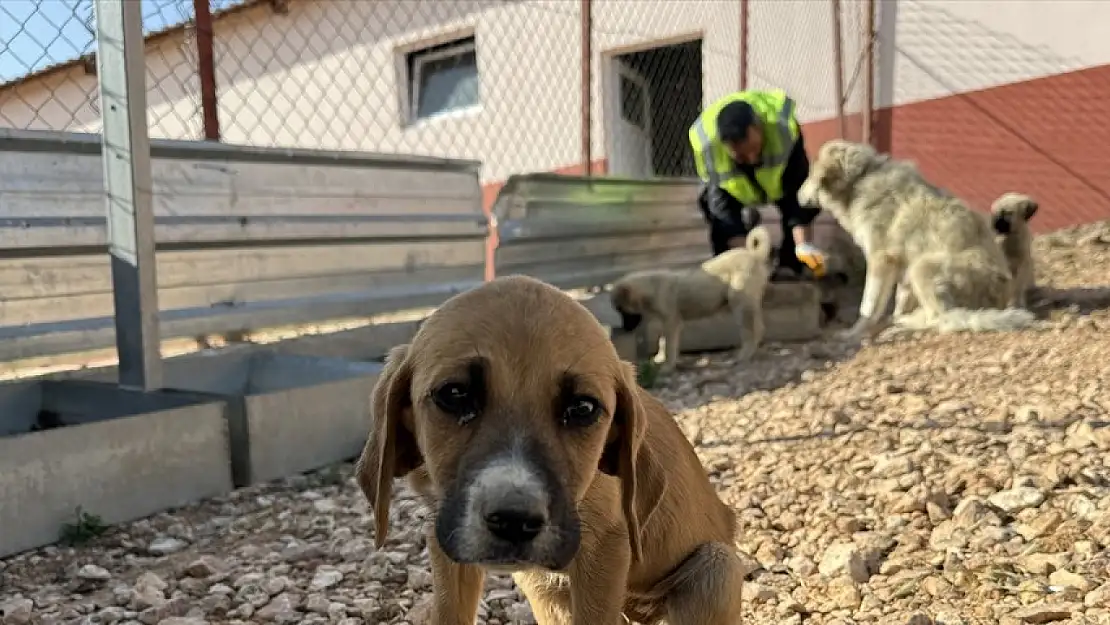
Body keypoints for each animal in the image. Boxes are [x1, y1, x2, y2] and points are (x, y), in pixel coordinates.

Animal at [359, 277, 750, 625]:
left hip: (716, 568)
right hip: (544, 589)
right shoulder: (447, 538)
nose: (513, 521)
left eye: (583, 408)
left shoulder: (605, 549)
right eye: (454, 395)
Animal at [608, 226, 772, 368]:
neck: (651, 288)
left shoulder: (672, 323)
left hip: (739, 304)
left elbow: (669, 344)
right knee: (759, 328)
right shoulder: (666, 322)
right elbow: (662, 341)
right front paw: (659, 358)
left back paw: (742, 356)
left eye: (623, 310)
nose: (625, 330)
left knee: (750, 332)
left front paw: (667, 366)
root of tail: (753, 255)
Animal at [794, 139, 1034, 339]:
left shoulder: (881, 259)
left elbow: (868, 306)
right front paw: (890, 319)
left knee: (944, 320)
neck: (859, 182)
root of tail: (1001, 298)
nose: (796, 196)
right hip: (916, 268)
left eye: (809, 175)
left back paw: (906, 327)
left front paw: (853, 333)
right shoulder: (901, 263)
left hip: (922, 266)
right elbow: (898, 301)